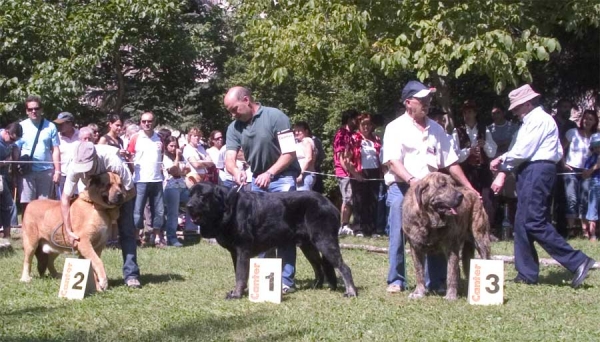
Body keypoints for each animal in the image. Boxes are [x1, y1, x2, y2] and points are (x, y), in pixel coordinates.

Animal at [188, 183, 356, 298]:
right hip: (308, 245)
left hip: (324, 240)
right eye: (191, 195)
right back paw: (317, 286)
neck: (226, 208)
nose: (188, 206)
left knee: (344, 267)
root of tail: (330, 204)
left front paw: (236, 294)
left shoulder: (243, 250)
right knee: (319, 266)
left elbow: (240, 274)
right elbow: (239, 273)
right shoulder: (235, 253)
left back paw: (351, 292)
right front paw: (241, 291)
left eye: (202, 196)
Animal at [400, 172, 490, 300]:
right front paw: (419, 293)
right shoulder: (415, 248)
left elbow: (451, 272)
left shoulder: (452, 247)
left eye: (453, 185)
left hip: (481, 238)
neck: (428, 220)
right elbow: (419, 272)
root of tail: (473, 192)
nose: (460, 196)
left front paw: (451, 296)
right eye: (442, 186)